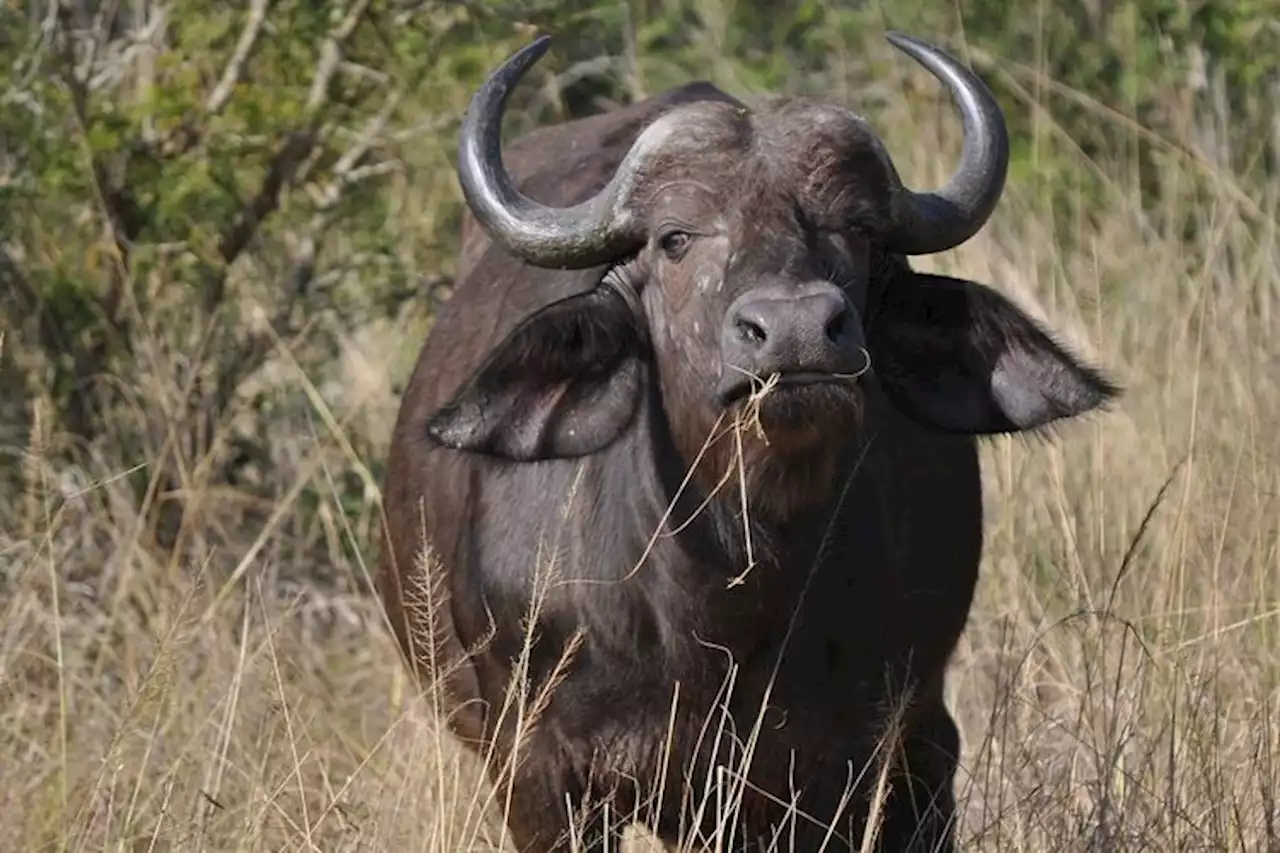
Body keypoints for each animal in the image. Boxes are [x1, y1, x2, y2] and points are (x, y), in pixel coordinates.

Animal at [373, 29, 1116, 845]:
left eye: (858, 228)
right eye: (675, 238)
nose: (797, 330)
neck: (723, 603)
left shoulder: (896, 751)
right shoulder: (535, 772)